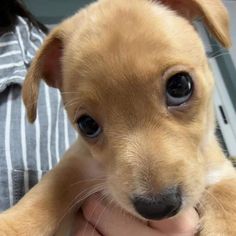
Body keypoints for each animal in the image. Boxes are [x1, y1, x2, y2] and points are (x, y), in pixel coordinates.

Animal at [0, 0, 236, 235]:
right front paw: (12, 225)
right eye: (87, 124)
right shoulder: (76, 166)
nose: (157, 207)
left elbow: (228, 203)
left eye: (180, 86)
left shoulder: (222, 172)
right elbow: (44, 197)